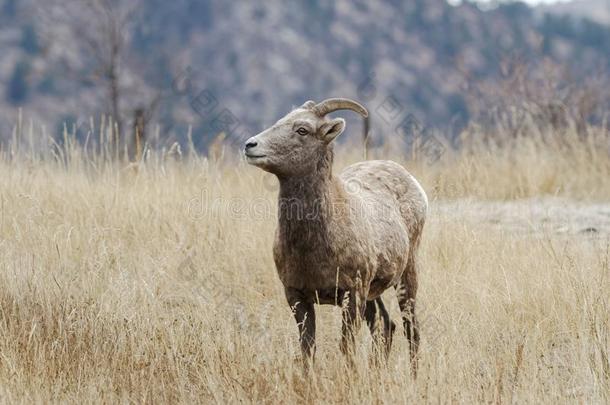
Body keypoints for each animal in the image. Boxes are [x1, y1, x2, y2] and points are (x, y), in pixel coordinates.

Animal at [243, 97, 428, 370]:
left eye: (302, 130)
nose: (250, 145)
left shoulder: (352, 296)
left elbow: (346, 348)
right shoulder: (297, 297)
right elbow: (307, 349)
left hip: (406, 276)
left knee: (410, 329)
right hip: (373, 294)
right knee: (386, 326)